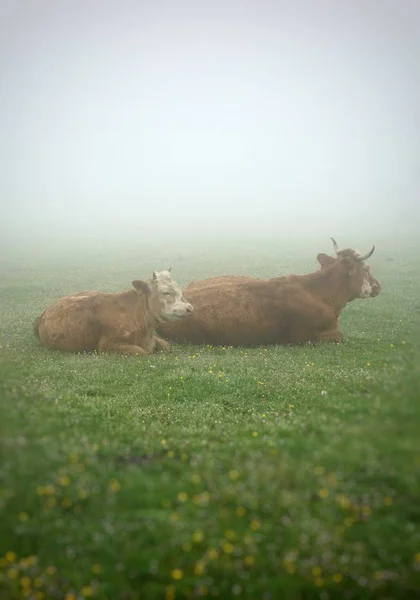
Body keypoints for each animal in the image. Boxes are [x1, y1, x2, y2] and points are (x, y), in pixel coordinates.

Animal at [33, 268, 194, 356]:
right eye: (165, 292)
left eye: (179, 289)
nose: (190, 308)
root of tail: (43, 315)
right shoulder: (106, 345)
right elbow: (140, 351)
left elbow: (166, 346)